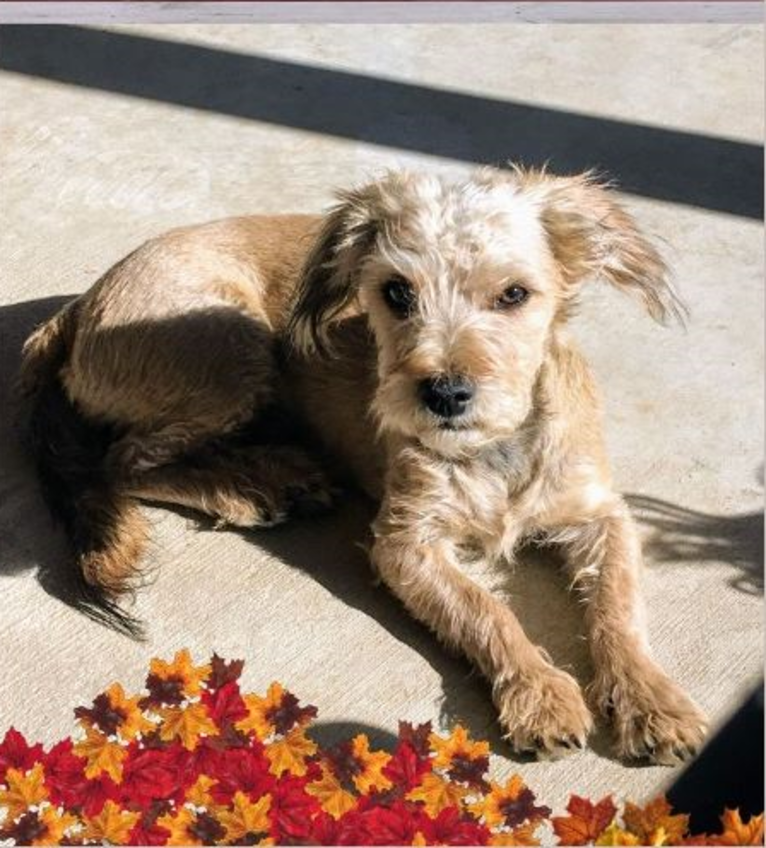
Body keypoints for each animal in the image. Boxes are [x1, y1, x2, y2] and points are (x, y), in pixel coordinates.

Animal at [22, 164, 708, 760]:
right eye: (397, 292)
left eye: (514, 294)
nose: (445, 394)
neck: (495, 447)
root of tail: (75, 309)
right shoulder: (405, 543)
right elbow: (487, 611)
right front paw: (539, 693)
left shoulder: (602, 515)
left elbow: (617, 609)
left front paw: (652, 700)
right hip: (233, 345)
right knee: (125, 460)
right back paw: (255, 486)